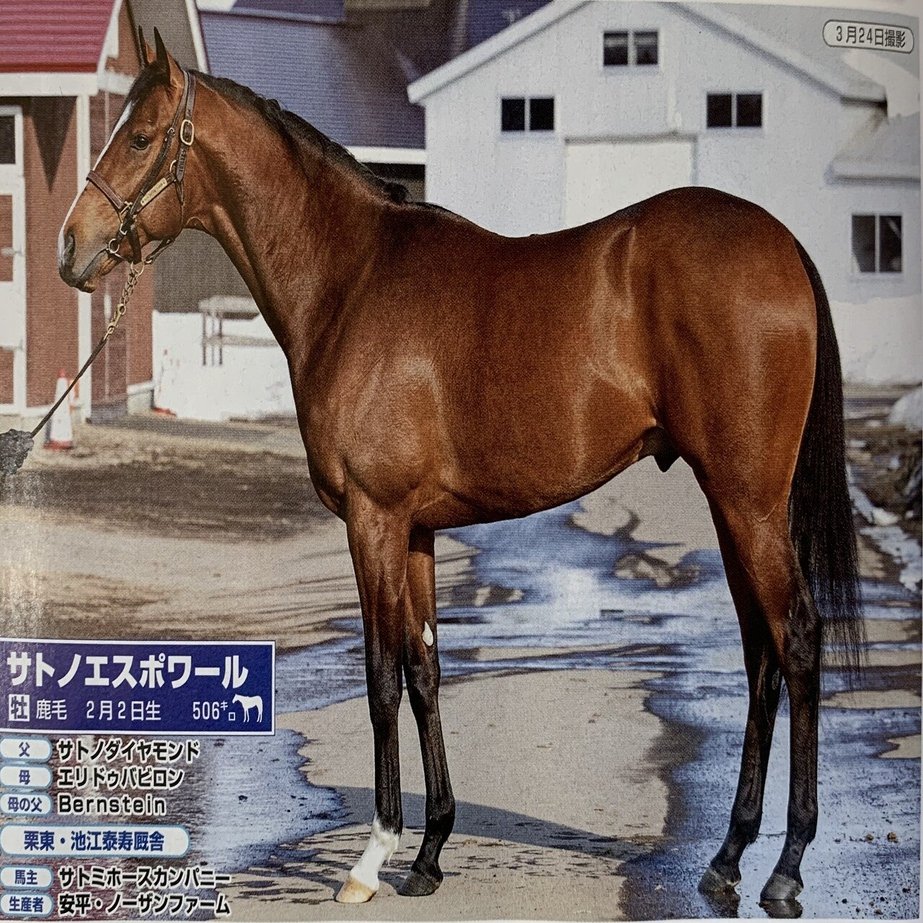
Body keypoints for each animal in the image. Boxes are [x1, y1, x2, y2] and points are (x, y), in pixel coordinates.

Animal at [58, 31, 862, 908]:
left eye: (139, 137)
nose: (69, 247)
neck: (350, 280)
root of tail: (781, 245)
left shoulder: (372, 519)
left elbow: (380, 675)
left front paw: (372, 856)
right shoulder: (415, 529)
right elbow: (425, 669)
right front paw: (430, 850)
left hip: (749, 502)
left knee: (797, 640)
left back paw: (785, 866)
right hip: (732, 504)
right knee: (759, 654)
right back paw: (726, 855)